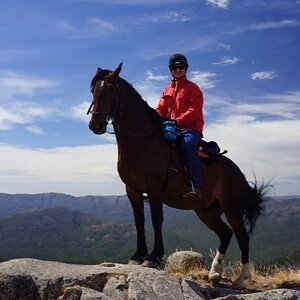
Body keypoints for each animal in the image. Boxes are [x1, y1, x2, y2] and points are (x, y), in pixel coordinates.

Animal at [86, 63, 268, 288]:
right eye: (93, 90)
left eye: (111, 90)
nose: (96, 125)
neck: (142, 142)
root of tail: (238, 174)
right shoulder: (133, 189)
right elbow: (138, 220)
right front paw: (137, 256)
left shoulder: (154, 189)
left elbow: (156, 219)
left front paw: (153, 257)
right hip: (206, 211)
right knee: (225, 233)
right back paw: (215, 273)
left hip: (232, 208)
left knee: (242, 237)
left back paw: (242, 278)